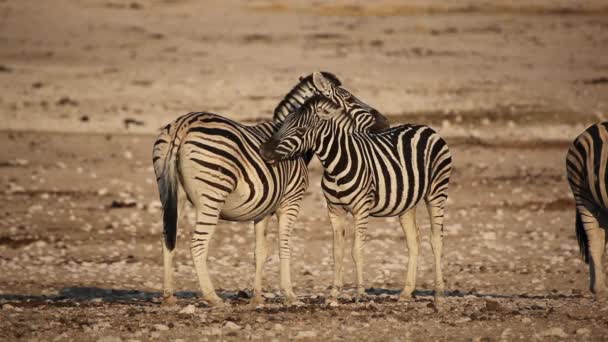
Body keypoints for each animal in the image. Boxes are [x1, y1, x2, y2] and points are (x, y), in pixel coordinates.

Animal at [260, 72, 452, 302]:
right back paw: (406, 293)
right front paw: (334, 294)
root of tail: (424, 127)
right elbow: (337, 252)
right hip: (407, 203)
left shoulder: (362, 209)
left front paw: (360, 293)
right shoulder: (334, 210)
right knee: (413, 242)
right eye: (282, 125)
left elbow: (357, 250)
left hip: (437, 192)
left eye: (300, 129)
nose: (264, 151)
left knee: (436, 240)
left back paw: (439, 292)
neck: (336, 162)